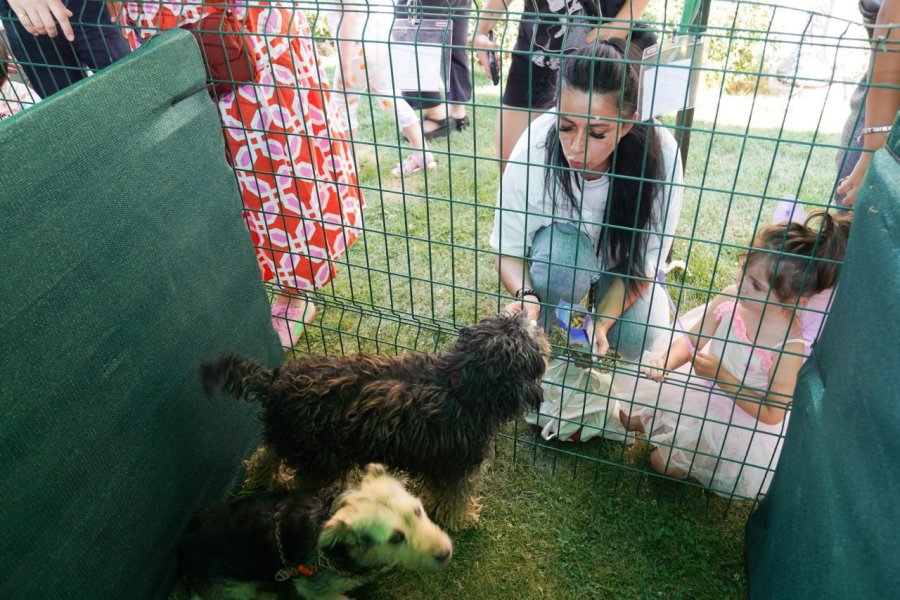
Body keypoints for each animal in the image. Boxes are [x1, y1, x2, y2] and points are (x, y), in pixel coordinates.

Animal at [180, 464, 454, 600]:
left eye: (418, 511)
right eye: (396, 538)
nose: (446, 553)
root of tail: (185, 550)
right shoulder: (314, 590)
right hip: (235, 589)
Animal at [203, 312, 548, 528]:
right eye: (526, 334)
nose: (529, 316)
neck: (458, 385)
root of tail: (274, 382)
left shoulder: (438, 463)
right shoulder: (456, 467)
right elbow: (454, 500)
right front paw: (462, 520)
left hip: (285, 436)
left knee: (263, 457)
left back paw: (263, 480)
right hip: (320, 459)